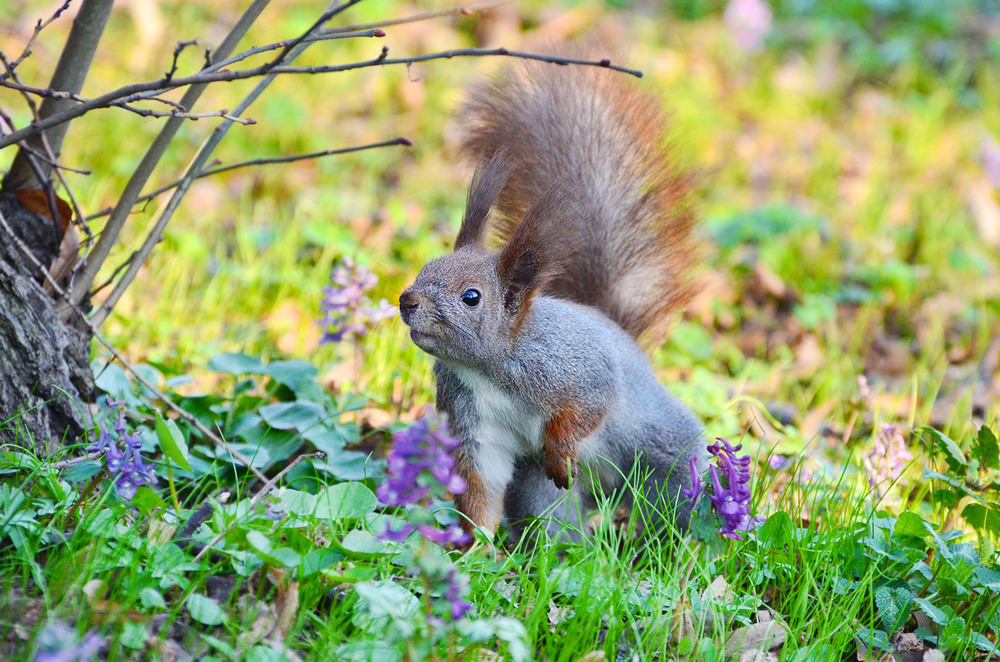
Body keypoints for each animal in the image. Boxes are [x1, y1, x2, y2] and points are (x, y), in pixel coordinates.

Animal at [394, 48, 708, 544]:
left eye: (471, 297)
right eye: (425, 268)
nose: (407, 301)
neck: (485, 368)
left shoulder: (573, 366)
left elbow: (589, 405)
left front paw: (560, 451)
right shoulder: (473, 422)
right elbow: (481, 486)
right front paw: (474, 547)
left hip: (662, 445)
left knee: (676, 488)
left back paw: (676, 545)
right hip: (539, 491)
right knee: (554, 516)